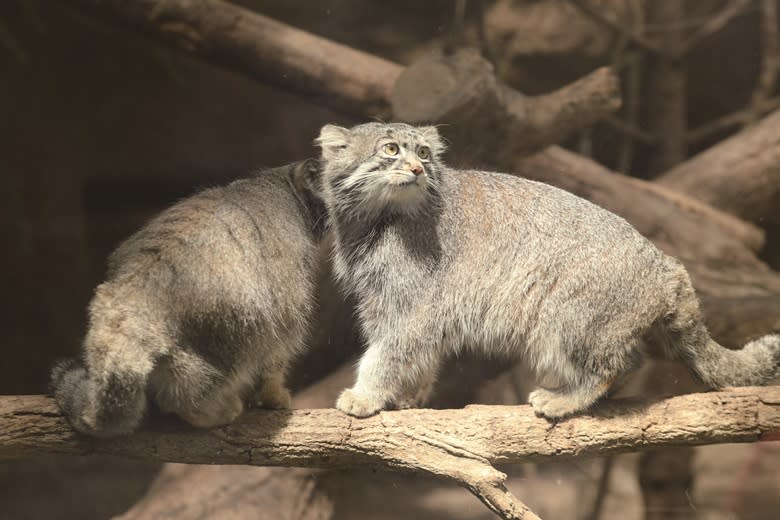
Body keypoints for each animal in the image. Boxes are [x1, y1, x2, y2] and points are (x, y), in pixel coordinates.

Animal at [50, 160, 322, 436]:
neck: (284, 185)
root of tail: (134, 294)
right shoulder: (288, 304)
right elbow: (276, 360)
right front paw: (274, 397)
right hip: (232, 335)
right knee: (184, 397)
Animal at [316, 122, 780, 418]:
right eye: (391, 149)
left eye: (425, 153)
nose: (417, 168)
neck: (372, 221)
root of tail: (667, 264)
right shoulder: (391, 306)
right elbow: (420, 357)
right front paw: (408, 397)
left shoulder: (411, 307)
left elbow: (386, 354)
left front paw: (365, 395)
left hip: (568, 317)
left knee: (616, 365)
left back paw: (564, 399)